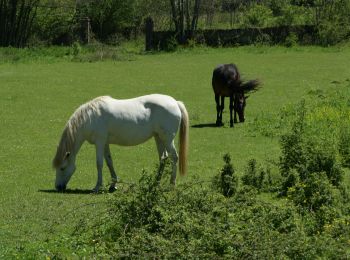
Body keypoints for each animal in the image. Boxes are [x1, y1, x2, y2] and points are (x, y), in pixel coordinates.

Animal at [52, 94, 189, 192]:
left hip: (167, 139)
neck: (90, 118)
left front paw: (97, 186)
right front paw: (113, 184)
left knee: (174, 157)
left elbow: (99, 163)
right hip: (159, 138)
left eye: (62, 168)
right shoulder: (105, 143)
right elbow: (109, 162)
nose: (58, 187)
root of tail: (175, 103)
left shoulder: (99, 142)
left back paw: (171, 184)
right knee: (163, 158)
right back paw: (156, 182)